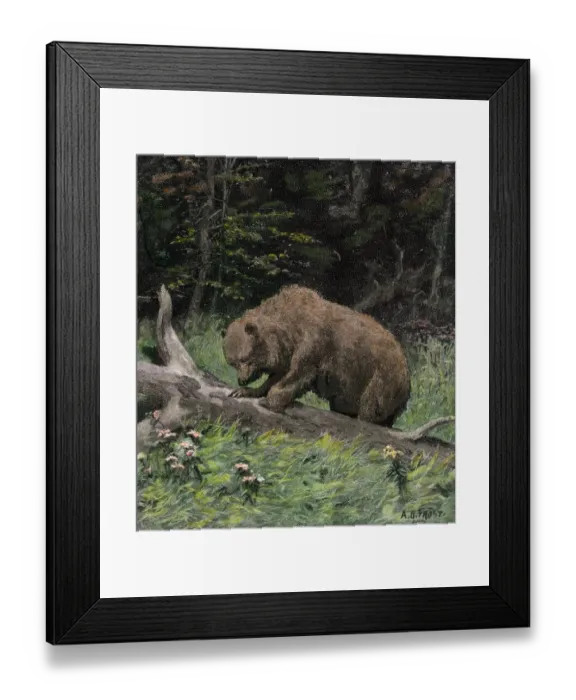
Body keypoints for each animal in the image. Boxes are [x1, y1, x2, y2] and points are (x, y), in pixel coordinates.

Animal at [222, 285, 411, 427]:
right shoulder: (287, 352)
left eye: (245, 359)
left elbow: (299, 374)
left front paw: (271, 400)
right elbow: (279, 375)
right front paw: (247, 391)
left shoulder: (313, 342)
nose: (242, 380)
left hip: (380, 378)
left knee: (371, 407)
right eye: (233, 363)